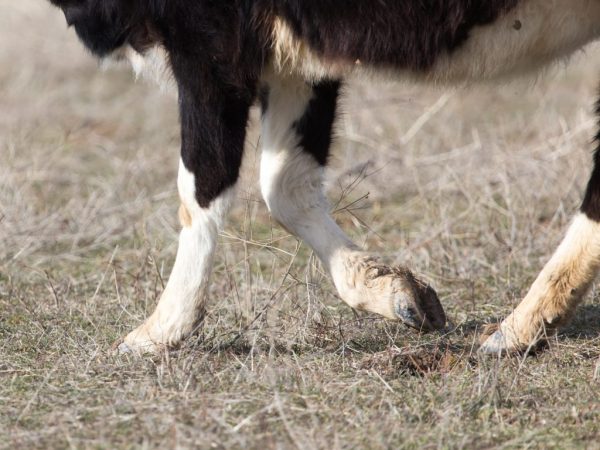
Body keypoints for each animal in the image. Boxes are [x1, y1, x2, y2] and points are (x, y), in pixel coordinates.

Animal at [48, 0, 600, 356]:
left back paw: (517, 329)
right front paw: (394, 292)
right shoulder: (296, 55)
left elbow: (202, 184)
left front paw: (161, 329)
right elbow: (285, 184)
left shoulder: (209, 44)